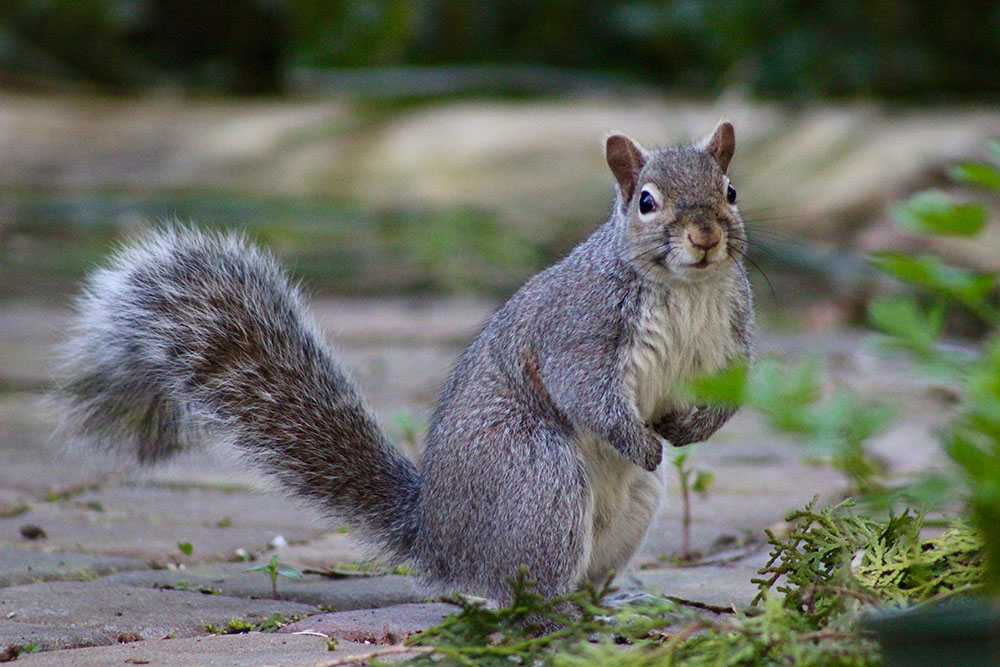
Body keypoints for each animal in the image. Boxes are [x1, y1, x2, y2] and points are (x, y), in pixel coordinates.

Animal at [56, 121, 752, 604]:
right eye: (646, 201)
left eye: (731, 191)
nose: (705, 236)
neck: (685, 288)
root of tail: (436, 541)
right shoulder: (579, 329)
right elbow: (584, 390)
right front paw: (641, 439)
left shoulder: (729, 338)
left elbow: (730, 396)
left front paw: (690, 428)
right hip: (537, 480)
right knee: (510, 587)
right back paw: (547, 611)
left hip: (625, 508)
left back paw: (611, 602)